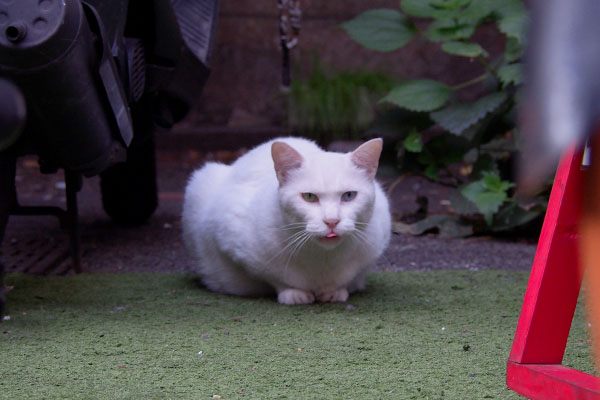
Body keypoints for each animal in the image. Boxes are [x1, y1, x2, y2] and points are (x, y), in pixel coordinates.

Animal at [180, 136, 392, 304]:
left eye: (349, 196)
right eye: (309, 197)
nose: (332, 221)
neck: (322, 259)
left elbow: (347, 278)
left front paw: (336, 291)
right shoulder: (231, 238)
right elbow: (276, 277)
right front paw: (293, 294)